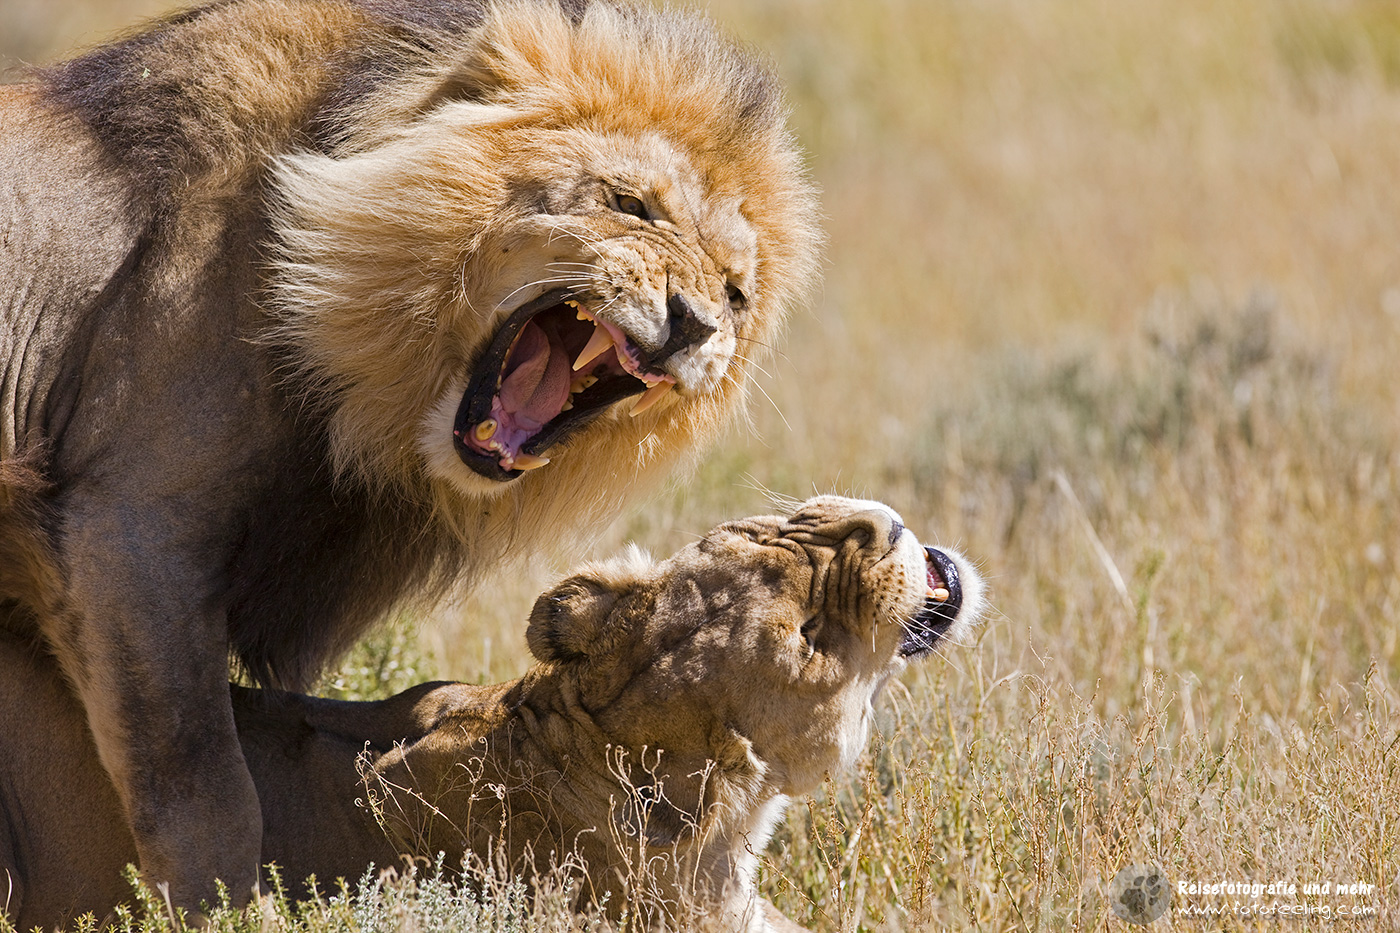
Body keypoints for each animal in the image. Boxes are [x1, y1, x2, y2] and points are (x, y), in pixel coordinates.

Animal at [0, 0, 820, 909]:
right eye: (629, 204)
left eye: (737, 292)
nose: (693, 323)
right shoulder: (128, 530)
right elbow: (205, 792)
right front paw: (236, 913)